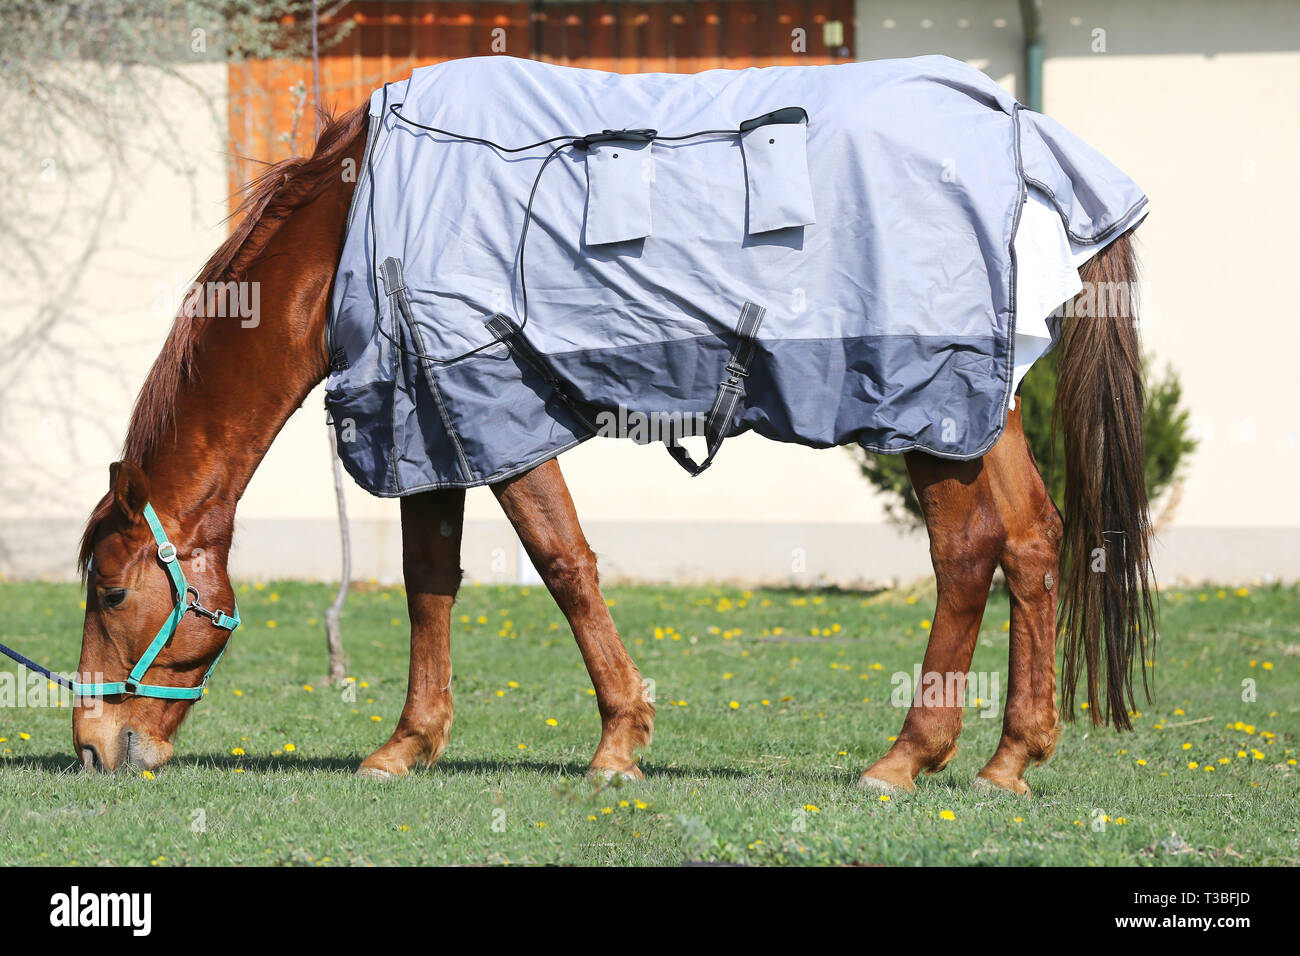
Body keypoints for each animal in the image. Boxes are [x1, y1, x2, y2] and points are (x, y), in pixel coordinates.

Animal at [71, 100, 1154, 796]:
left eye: (113, 592)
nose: (92, 745)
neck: (367, 219)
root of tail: (1026, 141)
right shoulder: (431, 414)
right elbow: (431, 581)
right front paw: (407, 744)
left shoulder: (490, 407)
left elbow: (564, 566)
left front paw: (617, 744)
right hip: (984, 406)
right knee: (1032, 540)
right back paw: (1008, 761)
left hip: (927, 407)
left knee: (966, 553)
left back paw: (906, 756)